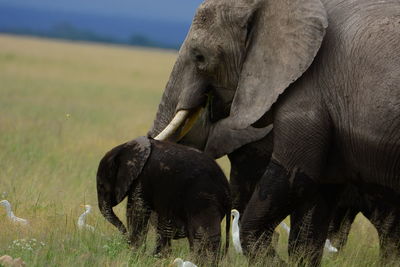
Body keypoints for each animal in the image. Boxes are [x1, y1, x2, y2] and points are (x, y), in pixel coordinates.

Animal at [95, 136, 231, 260]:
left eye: (101, 186)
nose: (125, 237)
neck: (125, 148)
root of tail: (228, 188)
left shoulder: (142, 178)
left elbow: (137, 210)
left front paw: (136, 256)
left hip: (205, 198)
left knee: (203, 235)